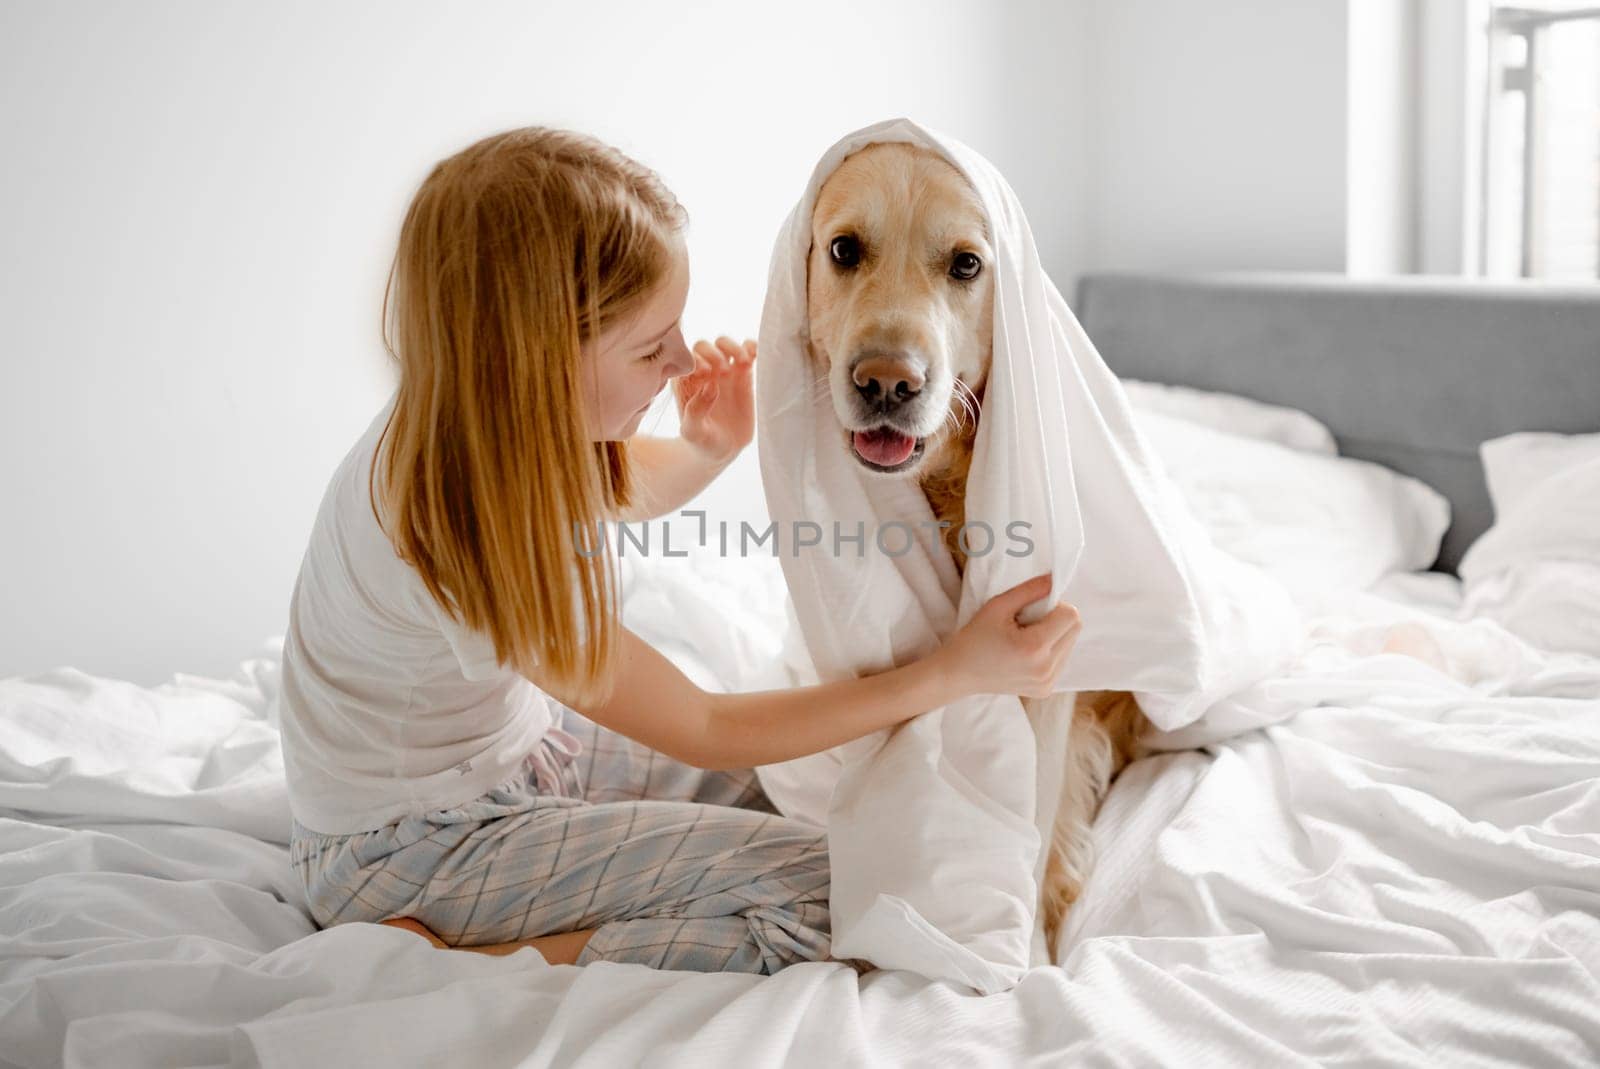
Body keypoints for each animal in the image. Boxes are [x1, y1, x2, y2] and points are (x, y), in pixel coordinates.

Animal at [806, 144, 1145, 953]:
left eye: (966, 265)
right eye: (843, 250)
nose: (887, 383)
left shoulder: (1050, 675)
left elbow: (1038, 827)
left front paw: (1030, 959)